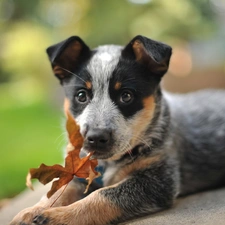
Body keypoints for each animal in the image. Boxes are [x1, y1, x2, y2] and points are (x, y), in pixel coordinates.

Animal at [9, 35, 225, 225]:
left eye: (126, 96)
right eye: (81, 95)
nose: (96, 137)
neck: (107, 164)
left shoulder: (158, 181)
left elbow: (102, 196)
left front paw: (55, 217)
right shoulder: (77, 173)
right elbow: (57, 191)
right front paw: (30, 212)